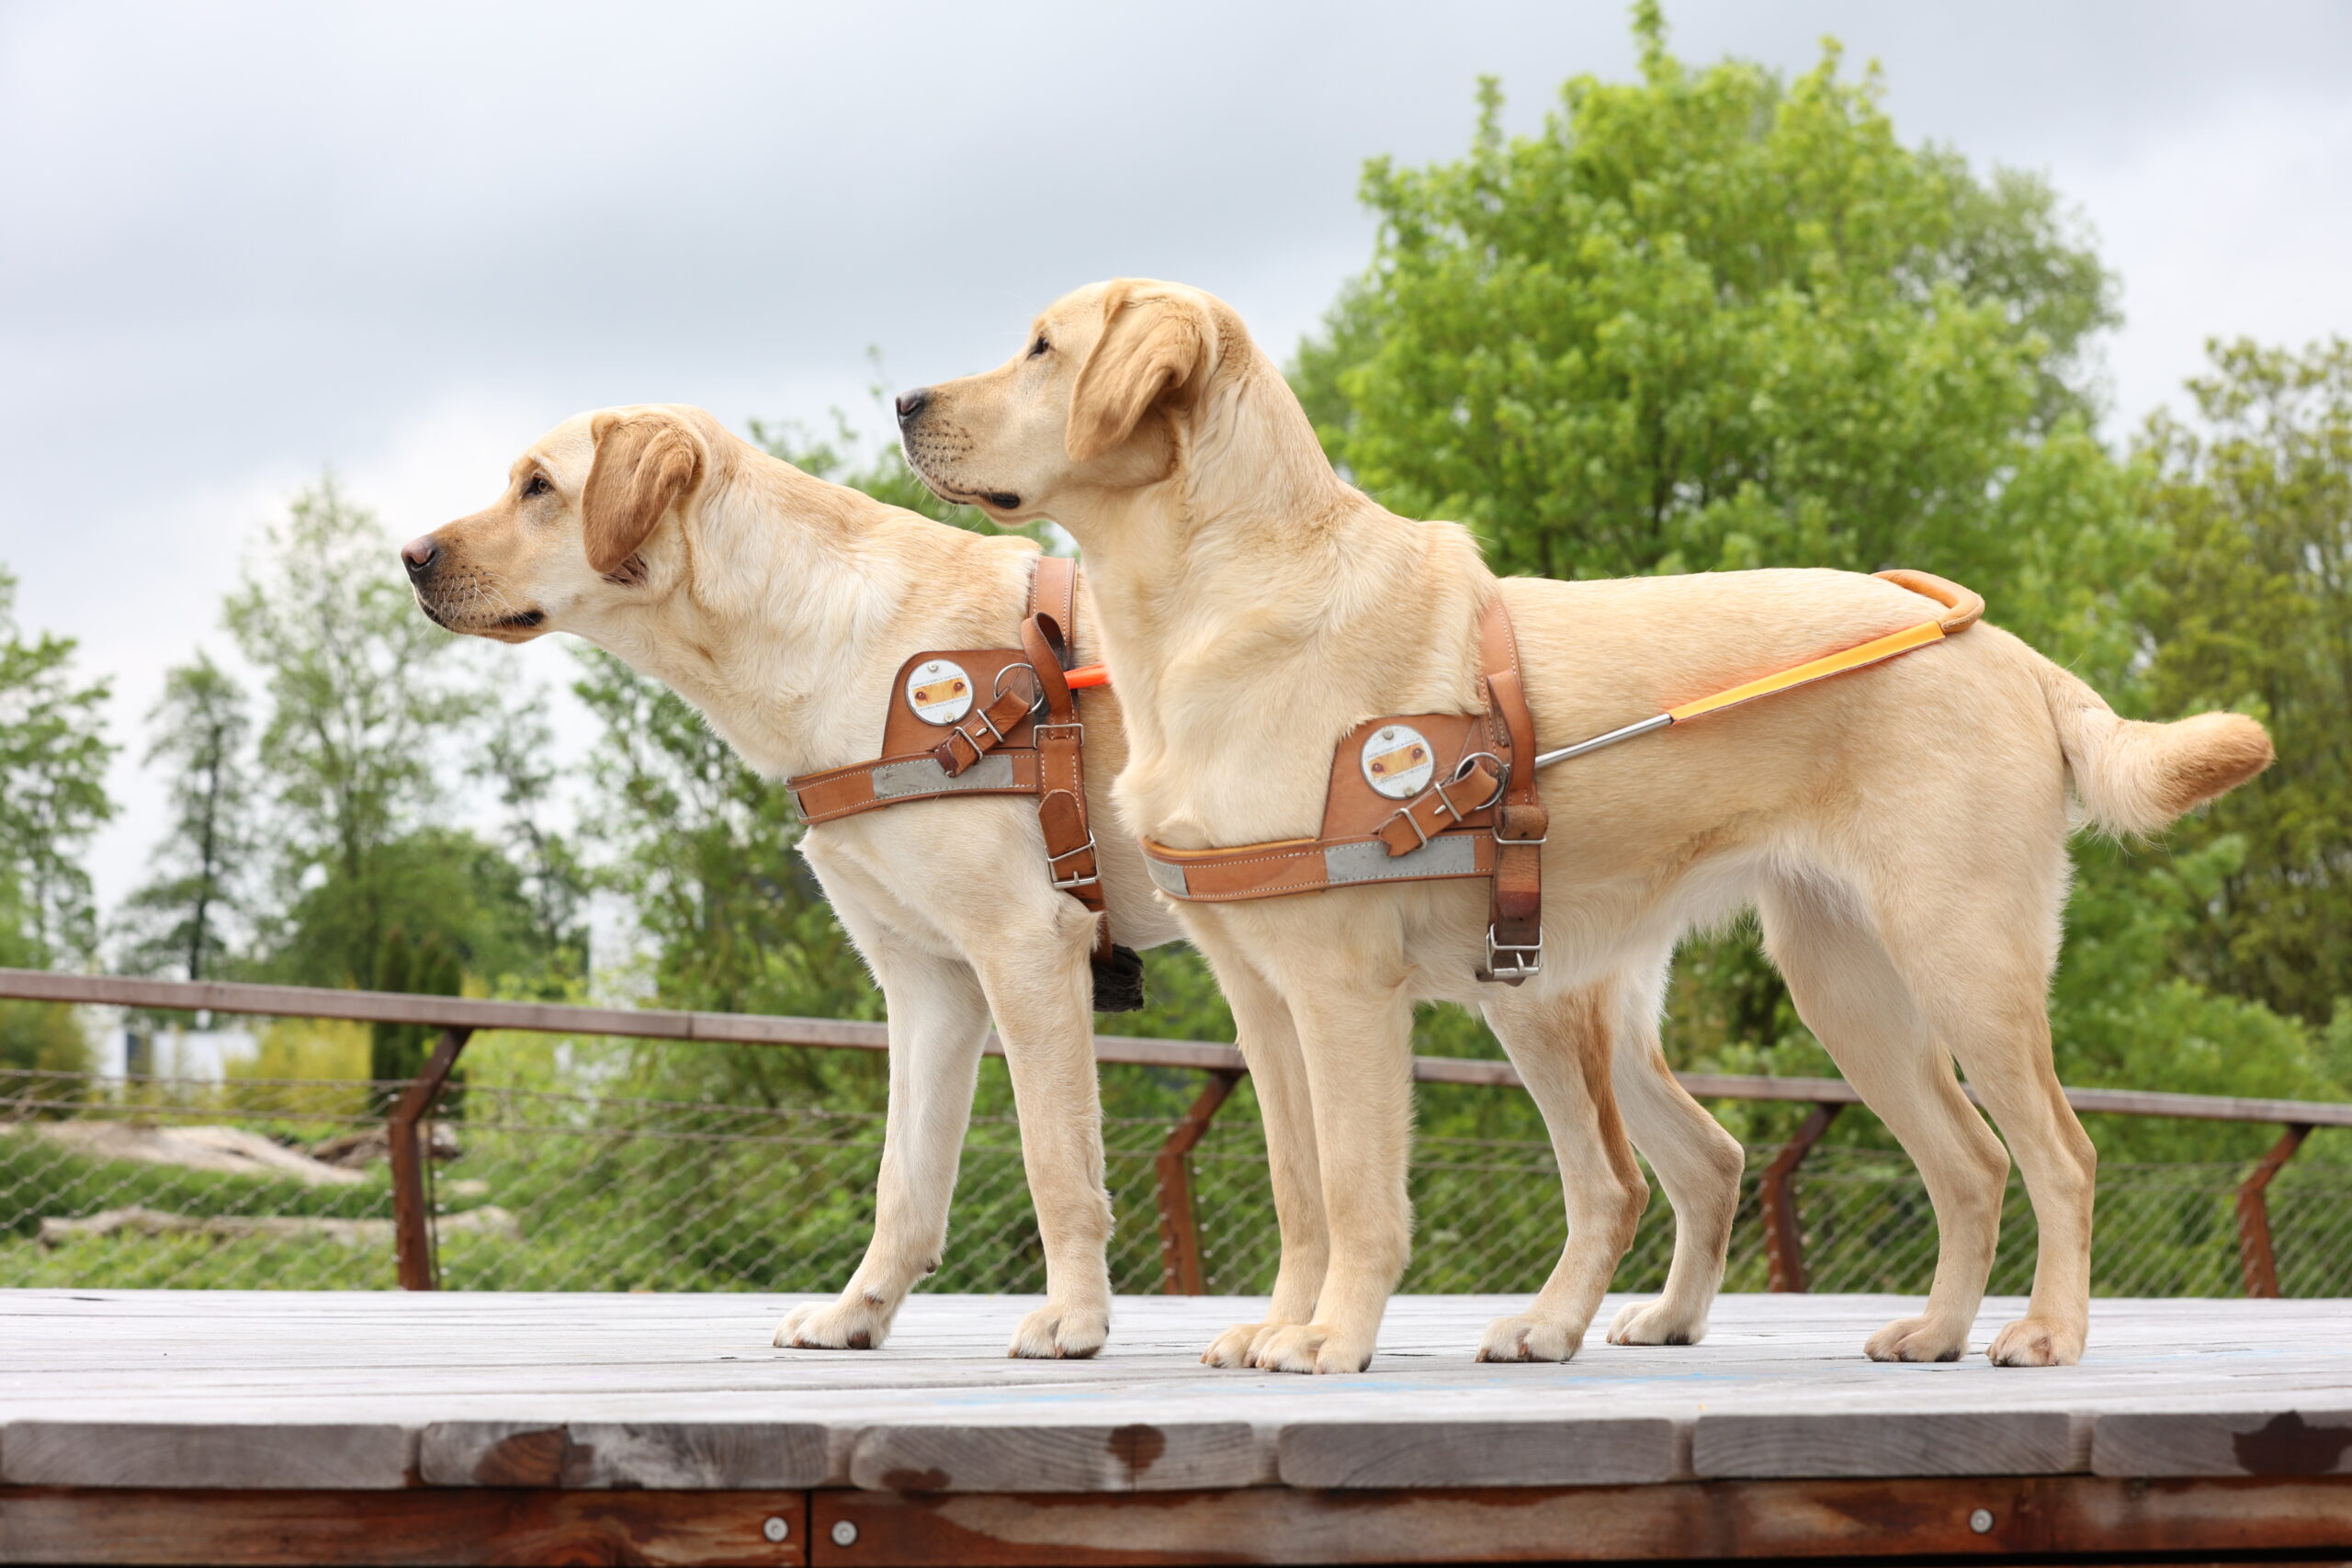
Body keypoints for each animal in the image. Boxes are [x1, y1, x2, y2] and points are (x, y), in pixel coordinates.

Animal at [409, 404, 1194, 1363]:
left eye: (537, 487)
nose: (409, 555)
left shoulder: (1027, 946)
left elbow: (1056, 1159)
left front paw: (1074, 1318)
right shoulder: (932, 982)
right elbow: (905, 1177)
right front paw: (858, 1312)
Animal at [888, 278, 2267, 1372]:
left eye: (1042, 348)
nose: (903, 399)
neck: (1212, 597)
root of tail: (2003, 646)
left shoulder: (1341, 987)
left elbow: (1356, 1188)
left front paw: (1331, 1341)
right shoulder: (1263, 997)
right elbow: (1296, 1187)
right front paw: (1282, 1323)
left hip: (1959, 959)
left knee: (2061, 1153)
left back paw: (2046, 1333)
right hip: (1841, 988)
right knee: (1970, 1163)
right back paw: (1932, 1330)